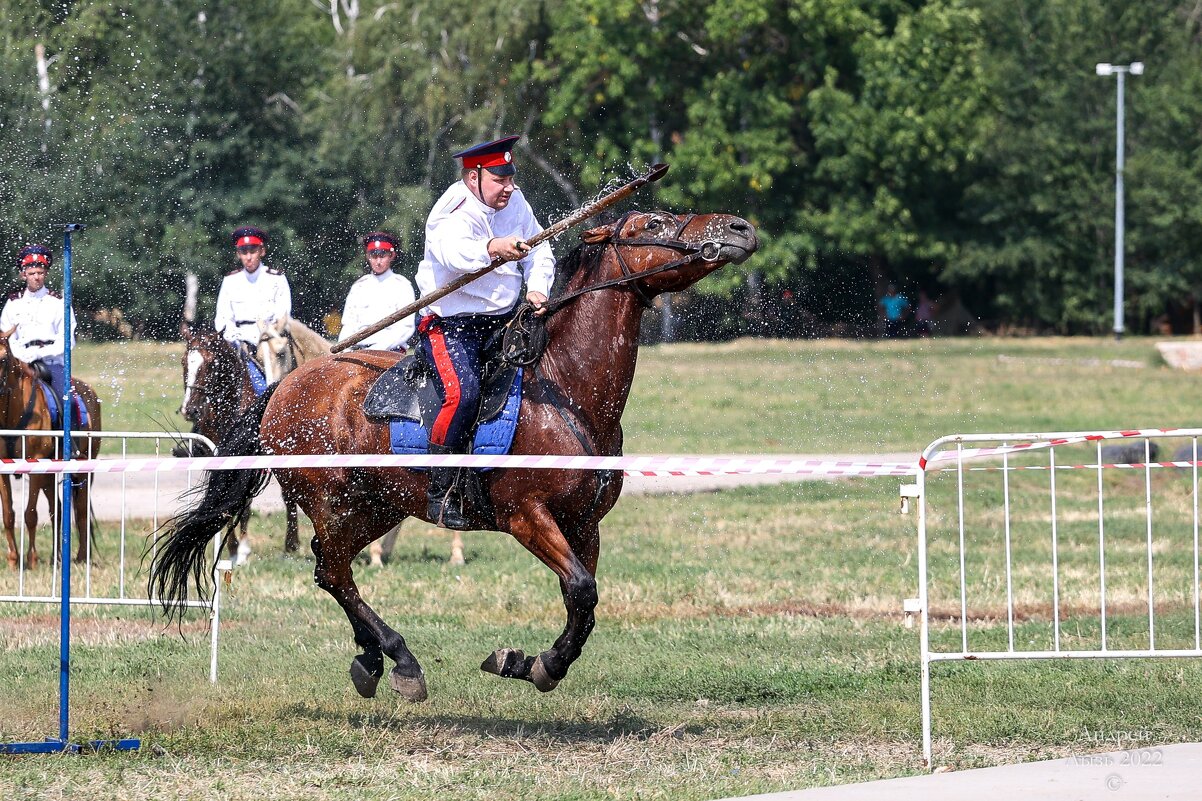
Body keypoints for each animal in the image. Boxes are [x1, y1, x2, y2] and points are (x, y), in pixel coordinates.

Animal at [0, 329, 102, 567]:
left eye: (3, 358)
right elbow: (8, 514)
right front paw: (13, 559)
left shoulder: (35, 465)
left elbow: (30, 514)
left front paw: (32, 559)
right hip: (50, 473)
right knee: (57, 509)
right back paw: (57, 557)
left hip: (84, 468)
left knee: (81, 510)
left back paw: (81, 557)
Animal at [147, 210, 750, 697]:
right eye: (652, 223)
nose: (739, 228)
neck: (566, 389)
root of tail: (283, 389)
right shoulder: (527, 515)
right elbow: (581, 589)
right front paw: (535, 664)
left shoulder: (584, 524)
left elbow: (583, 602)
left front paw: (531, 662)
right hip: (336, 504)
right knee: (334, 571)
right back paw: (399, 659)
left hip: (376, 506)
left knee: (330, 569)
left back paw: (372, 657)